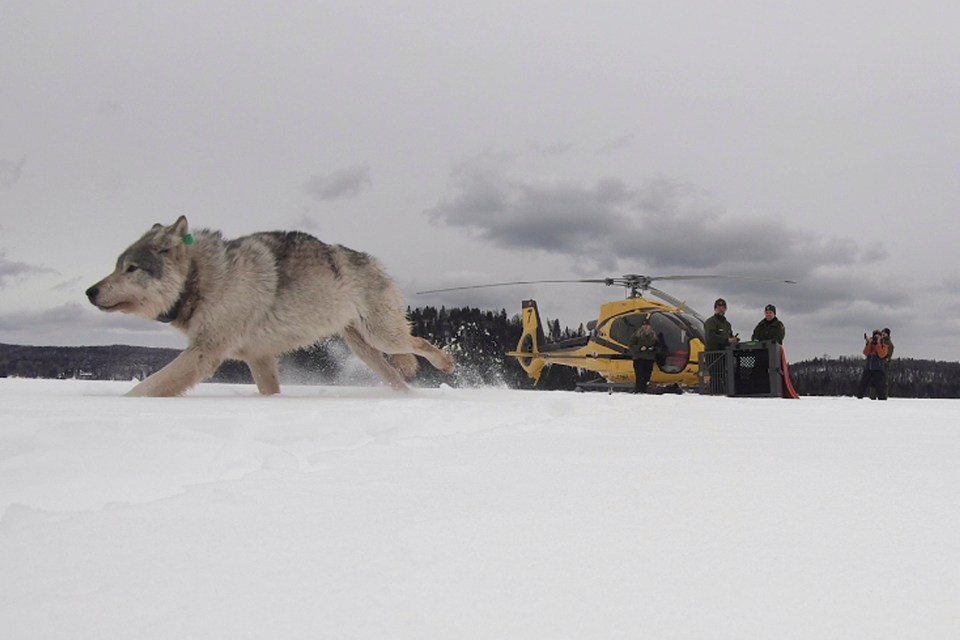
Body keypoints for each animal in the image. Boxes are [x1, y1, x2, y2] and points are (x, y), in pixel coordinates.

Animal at [85, 216, 454, 396]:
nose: (89, 291)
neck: (203, 279)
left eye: (131, 268)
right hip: (364, 350)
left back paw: (446, 363)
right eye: (117, 266)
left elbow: (145, 388)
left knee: (420, 343)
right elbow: (269, 392)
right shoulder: (259, 357)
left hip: (383, 337)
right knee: (397, 376)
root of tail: (373, 260)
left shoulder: (204, 352)